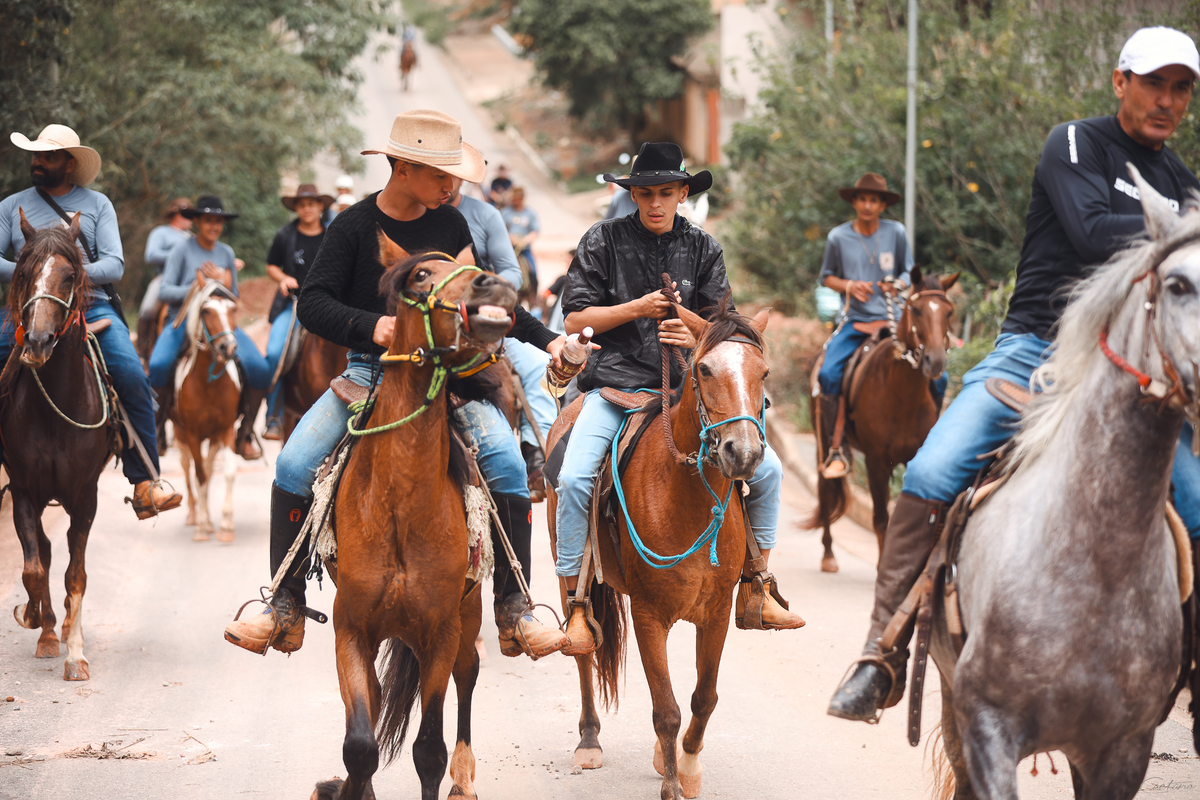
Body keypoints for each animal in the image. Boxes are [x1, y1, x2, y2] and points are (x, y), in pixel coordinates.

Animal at [170, 281, 242, 542]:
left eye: (233, 309)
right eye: (206, 311)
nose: (228, 347)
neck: (209, 384)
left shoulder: (226, 429)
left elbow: (227, 472)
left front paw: (226, 525)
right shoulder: (192, 434)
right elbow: (199, 475)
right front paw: (201, 525)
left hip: (212, 438)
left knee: (209, 470)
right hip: (181, 435)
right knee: (188, 468)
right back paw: (194, 515)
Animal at [311, 240, 517, 800]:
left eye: (469, 265)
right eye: (421, 275)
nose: (492, 285)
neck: (399, 508)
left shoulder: (439, 632)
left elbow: (428, 750)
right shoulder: (350, 629)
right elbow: (360, 746)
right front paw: (347, 788)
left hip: (466, 620)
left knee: (467, 679)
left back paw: (464, 778)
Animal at [545, 301, 772, 800]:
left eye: (763, 372)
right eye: (704, 369)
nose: (744, 453)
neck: (687, 496)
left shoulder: (715, 612)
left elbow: (703, 698)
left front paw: (686, 767)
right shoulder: (649, 614)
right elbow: (665, 709)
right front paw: (672, 783)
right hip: (568, 568)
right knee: (583, 650)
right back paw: (588, 740)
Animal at [808, 266, 958, 572]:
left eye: (948, 312)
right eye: (916, 309)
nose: (935, 361)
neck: (901, 395)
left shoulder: (911, 459)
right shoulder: (876, 462)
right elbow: (881, 519)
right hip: (823, 441)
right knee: (826, 490)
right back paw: (828, 554)